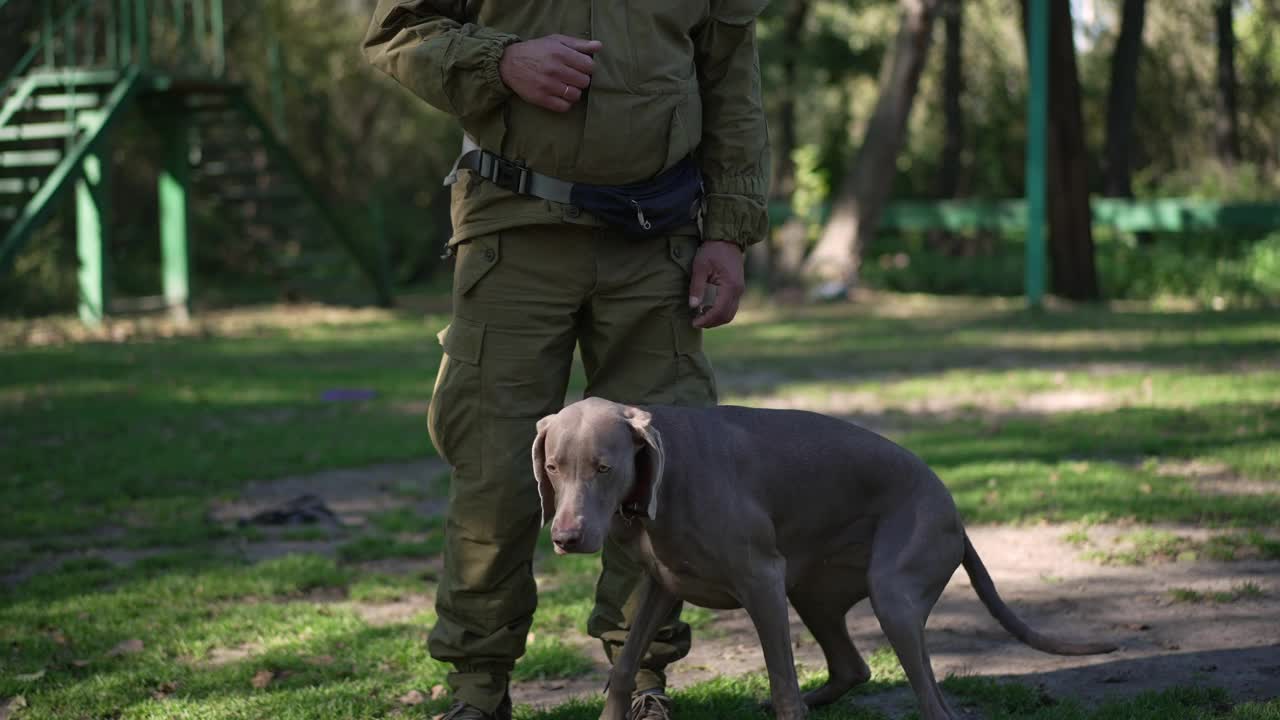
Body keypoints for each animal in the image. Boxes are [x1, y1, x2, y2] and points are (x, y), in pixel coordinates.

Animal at [535, 397, 1116, 717]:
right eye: (554, 466)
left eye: (604, 468)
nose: (565, 537)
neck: (663, 477)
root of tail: (955, 512)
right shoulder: (663, 585)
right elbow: (625, 665)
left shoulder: (763, 582)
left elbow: (784, 684)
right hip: (812, 589)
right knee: (854, 667)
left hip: (892, 593)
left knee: (934, 704)